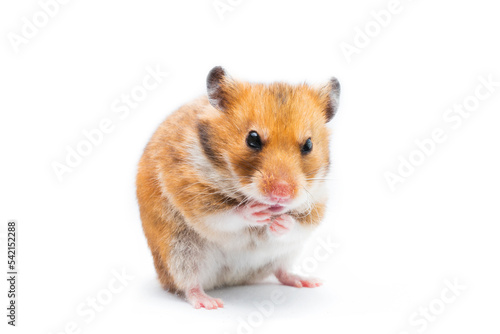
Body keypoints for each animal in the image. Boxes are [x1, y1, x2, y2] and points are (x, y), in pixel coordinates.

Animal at [137, 66, 340, 310]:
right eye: (252, 139)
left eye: (308, 144)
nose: (281, 194)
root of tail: (235, 279)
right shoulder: (194, 196)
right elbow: (227, 214)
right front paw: (257, 211)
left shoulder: (317, 203)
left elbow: (298, 224)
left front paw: (280, 221)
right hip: (179, 252)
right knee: (189, 284)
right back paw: (209, 303)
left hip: (287, 253)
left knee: (281, 270)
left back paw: (307, 281)